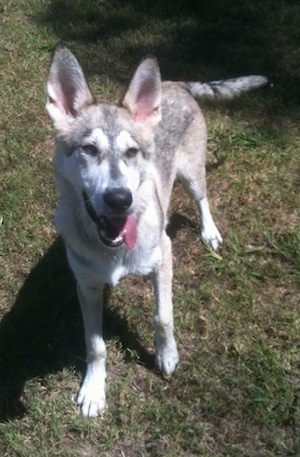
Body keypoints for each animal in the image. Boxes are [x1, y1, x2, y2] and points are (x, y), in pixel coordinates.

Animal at [46, 43, 268, 416]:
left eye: (132, 151)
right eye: (89, 149)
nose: (120, 199)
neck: (115, 252)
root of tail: (174, 83)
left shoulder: (163, 258)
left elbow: (163, 316)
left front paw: (167, 355)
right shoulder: (87, 286)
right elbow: (96, 346)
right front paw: (94, 389)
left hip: (192, 174)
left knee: (202, 200)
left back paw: (209, 232)